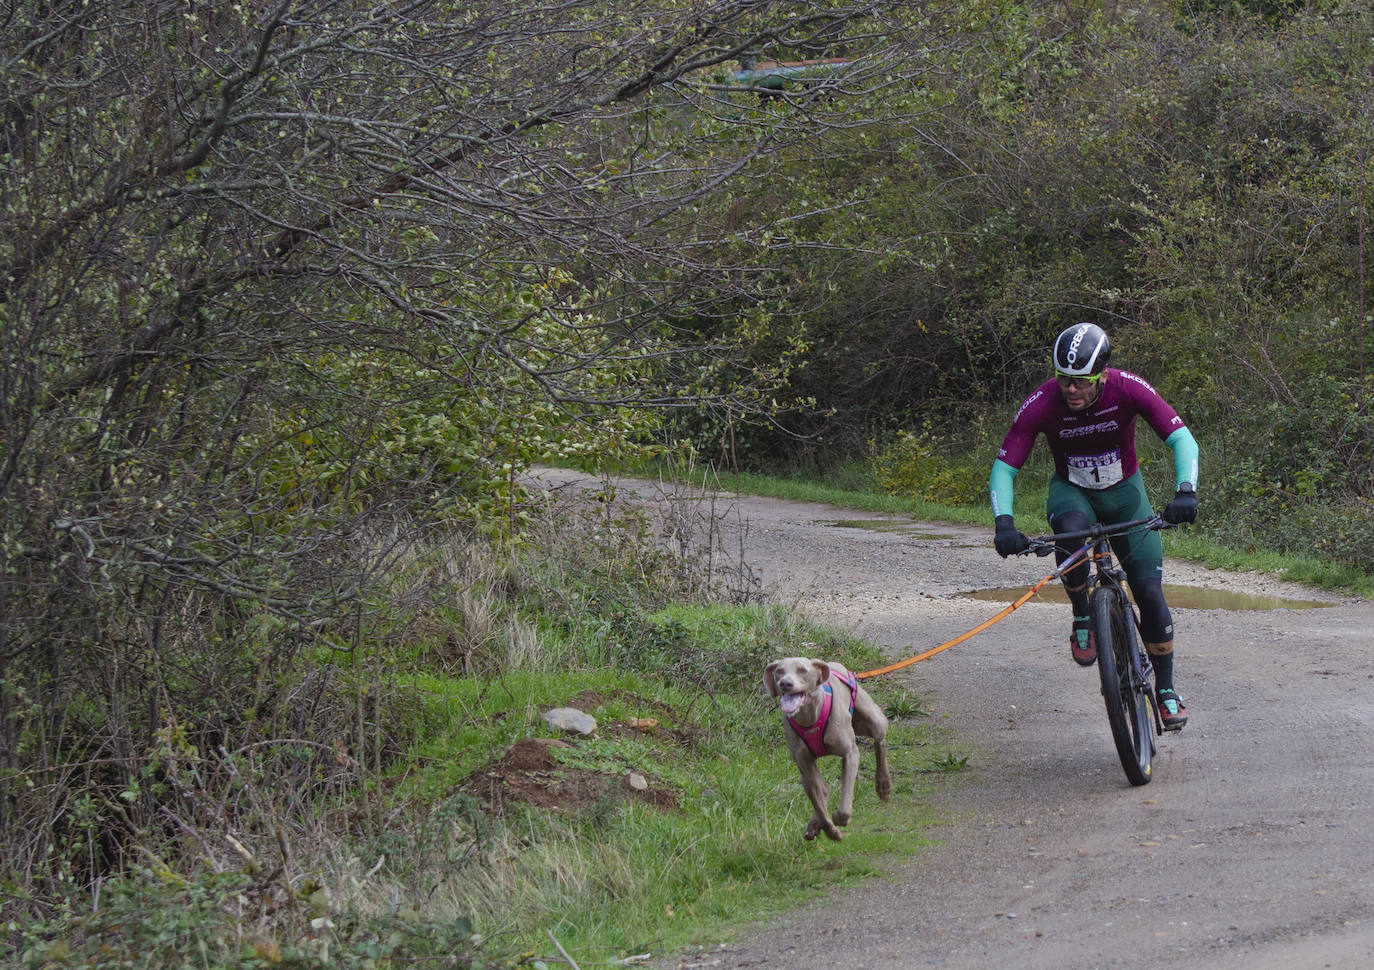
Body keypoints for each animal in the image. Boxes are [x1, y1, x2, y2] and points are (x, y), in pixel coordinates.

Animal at [763, 656, 890, 840]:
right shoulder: (804, 764)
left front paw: (839, 818)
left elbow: (845, 800)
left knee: (880, 743)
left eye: (802, 670)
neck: (809, 718)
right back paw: (814, 824)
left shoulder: (850, 753)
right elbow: (819, 801)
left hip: (873, 719)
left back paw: (883, 785)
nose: (785, 683)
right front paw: (830, 830)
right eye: (779, 671)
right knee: (823, 789)